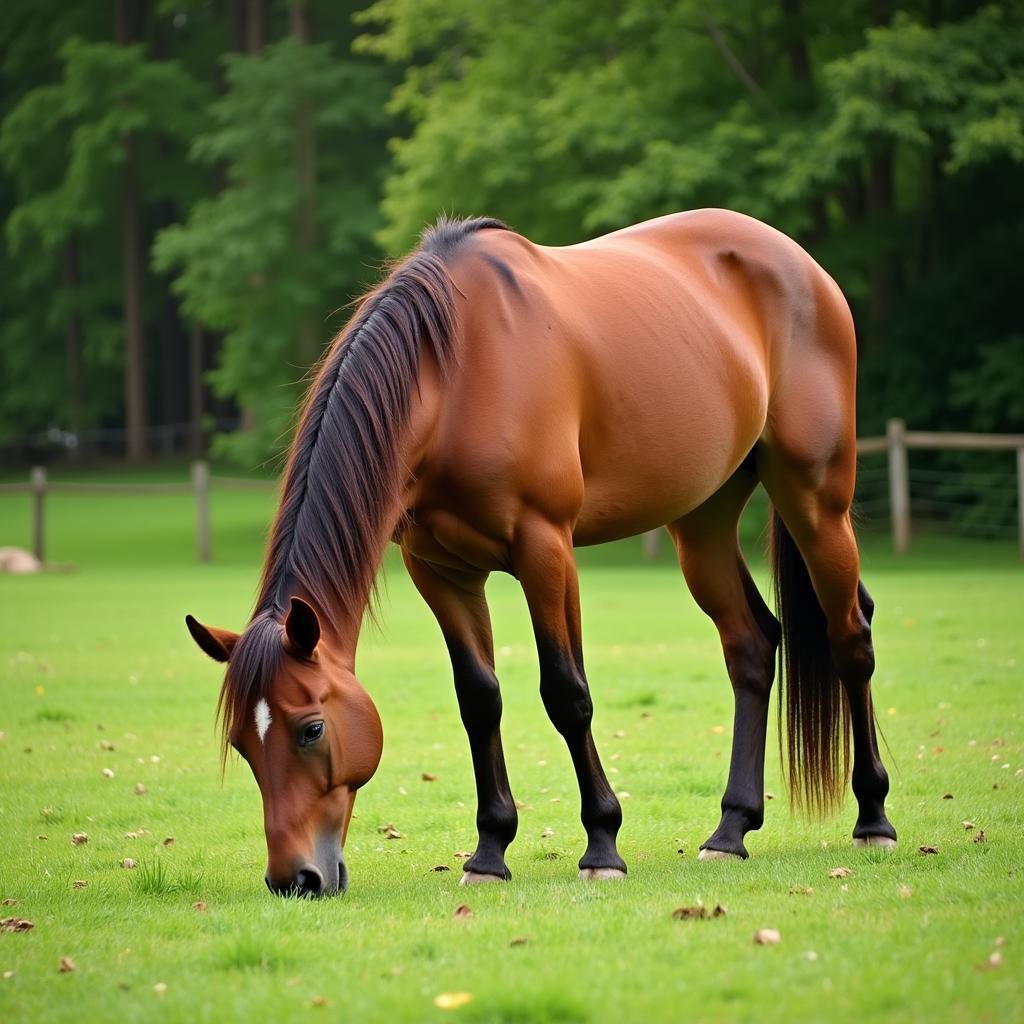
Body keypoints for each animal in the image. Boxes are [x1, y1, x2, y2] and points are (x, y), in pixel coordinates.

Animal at [184, 207, 897, 897]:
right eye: (242, 743)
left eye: (311, 728)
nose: (295, 879)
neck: (455, 374)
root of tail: (799, 263)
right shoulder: (440, 571)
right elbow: (479, 699)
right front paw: (489, 853)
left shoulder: (546, 549)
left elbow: (566, 692)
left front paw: (602, 846)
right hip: (703, 522)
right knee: (751, 645)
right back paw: (730, 831)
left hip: (815, 499)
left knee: (851, 637)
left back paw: (873, 818)